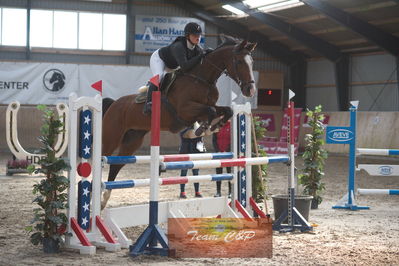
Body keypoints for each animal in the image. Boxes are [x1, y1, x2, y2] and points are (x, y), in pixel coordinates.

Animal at [101, 35, 258, 208]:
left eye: (252, 62)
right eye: (239, 62)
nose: (250, 91)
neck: (202, 79)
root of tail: (114, 103)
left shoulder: (208, 107)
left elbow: (225, 110)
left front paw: (214, 126)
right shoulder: (185, 110)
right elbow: (210, 111)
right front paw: (203, 128)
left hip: (132, 140)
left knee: (116, 164)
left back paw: (104, 199)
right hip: (112, 137)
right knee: (102, 158)